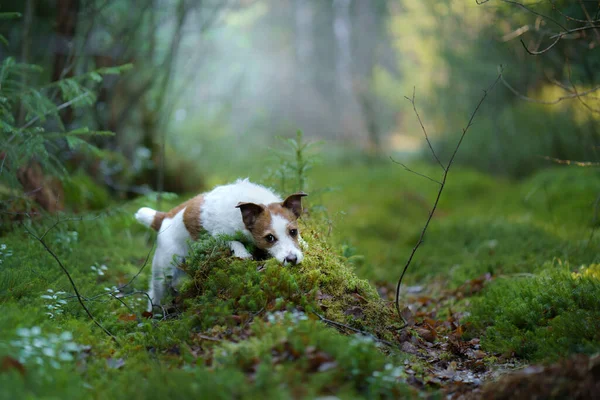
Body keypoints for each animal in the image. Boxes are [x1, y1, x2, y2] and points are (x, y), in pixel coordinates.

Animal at [134, 180, 308, 310]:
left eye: (293, 231)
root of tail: (164, 218)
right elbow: (233, 241)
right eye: (269, 237)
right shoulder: (217, 235)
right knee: (155, 294)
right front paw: (242, 253)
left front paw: (304, 243)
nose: (292, 259)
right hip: (164, 270)